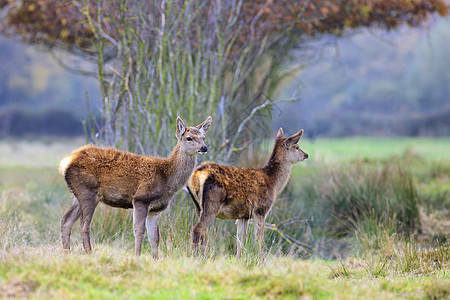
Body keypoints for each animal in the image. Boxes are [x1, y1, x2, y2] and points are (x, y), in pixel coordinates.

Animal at [59, 115, 212, 258]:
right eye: (189, 138)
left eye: (203, 137)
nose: (204, 147)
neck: (167, 180)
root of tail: (66, 161)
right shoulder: (141, 199)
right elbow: (139, 231)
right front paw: (137, 256)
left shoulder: (156, 209)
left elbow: (154, 237)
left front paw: (156, 260)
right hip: (87, 191)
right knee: (83, 225)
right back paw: (89, 253)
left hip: (77, 194)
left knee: (66, 220)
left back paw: (67, 252)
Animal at [185, 127, 308, 258]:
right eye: (297, 147)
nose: (306, 155)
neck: (273, 183)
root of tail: (196, 175)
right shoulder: (260, 210)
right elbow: (259, 240)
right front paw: (260, 260)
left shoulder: (243, 215)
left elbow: (240, 241)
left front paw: (239, 259)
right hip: (212, 204)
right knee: (197, 229)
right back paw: (197, 257)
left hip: (198, 206)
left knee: (203, 232)